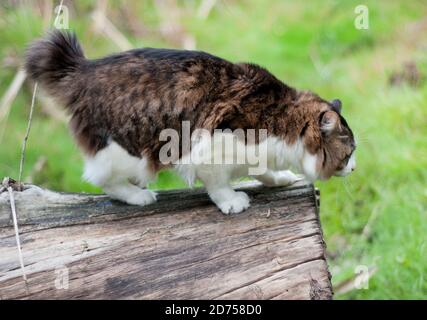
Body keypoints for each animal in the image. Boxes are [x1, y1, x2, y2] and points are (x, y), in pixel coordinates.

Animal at [24, 30, 358, 215]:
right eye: (350, 152)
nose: (354, 168)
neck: (282, 120)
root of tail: (84, 68)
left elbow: (264, 171)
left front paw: (280, 178)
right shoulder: (210, 149)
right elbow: (218, 185)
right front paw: (232, 202)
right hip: (129, 151)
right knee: (101, 179)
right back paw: (139, 195)